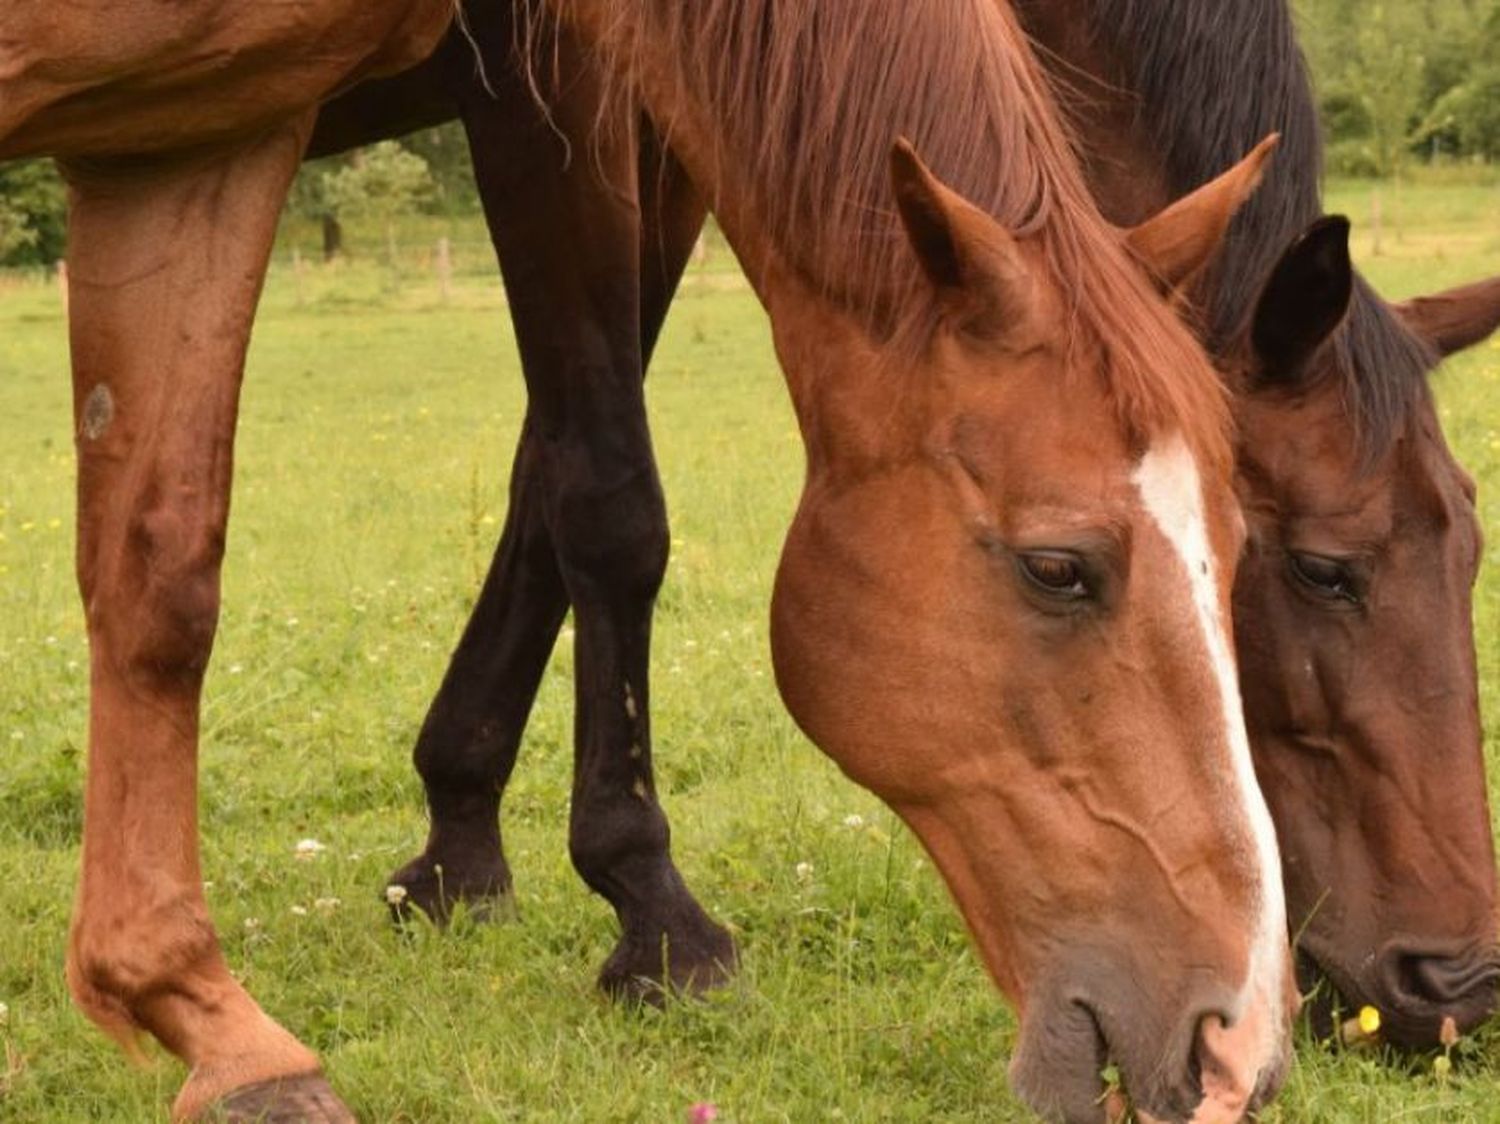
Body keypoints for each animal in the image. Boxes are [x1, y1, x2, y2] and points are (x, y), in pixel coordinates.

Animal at [0, 2, 1296, 1122]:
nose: (1240, 1041)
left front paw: (216, 1022)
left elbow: (162, 568)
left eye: (1248, 551)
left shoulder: (194, 133)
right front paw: (655, 919)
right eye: (1058, 567)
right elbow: (605, 496)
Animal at [313, 0, 1500, 1050]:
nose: (1460, 982)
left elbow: (545, 476)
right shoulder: (542, 90)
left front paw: (457, 847)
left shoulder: (666, 134)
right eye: (1319, 567)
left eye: (1470, 555)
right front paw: (654, 915)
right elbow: (606, 498)